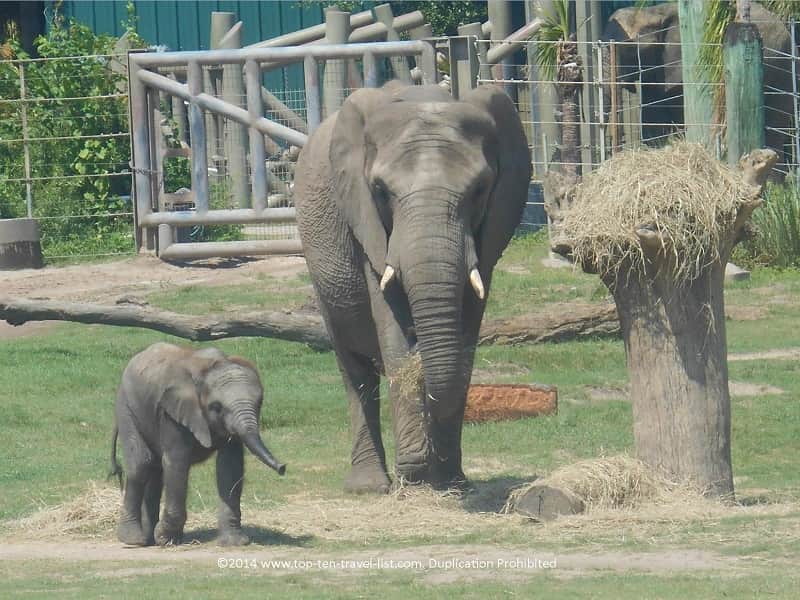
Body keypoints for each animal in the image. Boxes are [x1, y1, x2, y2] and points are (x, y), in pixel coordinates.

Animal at [110, 343, 285, 546]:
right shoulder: (172, 413)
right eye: (216, 407)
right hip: (126, 407)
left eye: (259, 403)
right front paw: (164, 538)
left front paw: (234, 542)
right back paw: (135, 539)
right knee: (141, 464)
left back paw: (150, 538)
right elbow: (177, 462)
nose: (283, 467)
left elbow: (230, 465)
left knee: (155, 470)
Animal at [293, 81, 531, 493]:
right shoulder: (366, 223)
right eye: (379, 190)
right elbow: (393, 330)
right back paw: (369, 486)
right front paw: (416, 476)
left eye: (480, 190)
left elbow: (466, 331)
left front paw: (449, 481)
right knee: (353, 370)